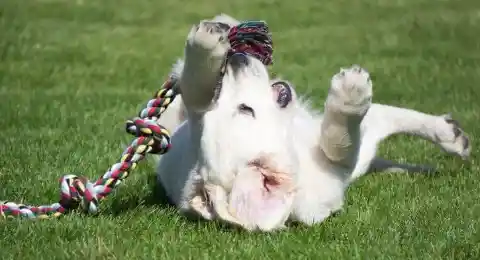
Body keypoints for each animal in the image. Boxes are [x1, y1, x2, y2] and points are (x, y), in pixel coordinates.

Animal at [156, 13, 470, 232]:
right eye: (246, 109)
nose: (235, 61)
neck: (298, 153)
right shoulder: (339, 167)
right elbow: (340, 143)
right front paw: (351, 93)